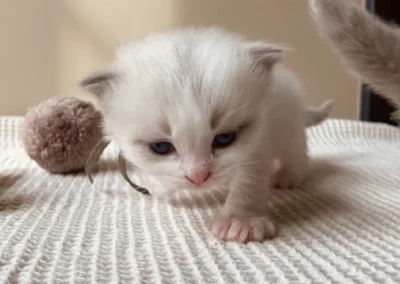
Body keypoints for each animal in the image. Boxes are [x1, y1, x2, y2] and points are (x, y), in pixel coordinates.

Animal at [80, 27, 332, 243]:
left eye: (224, 138)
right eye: (160, 147)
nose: (198, 177)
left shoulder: (260, 140)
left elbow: (249, 181)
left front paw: (241, 221)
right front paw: (163, 187)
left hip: (288, 125)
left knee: (296, 151)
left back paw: (289, 176)